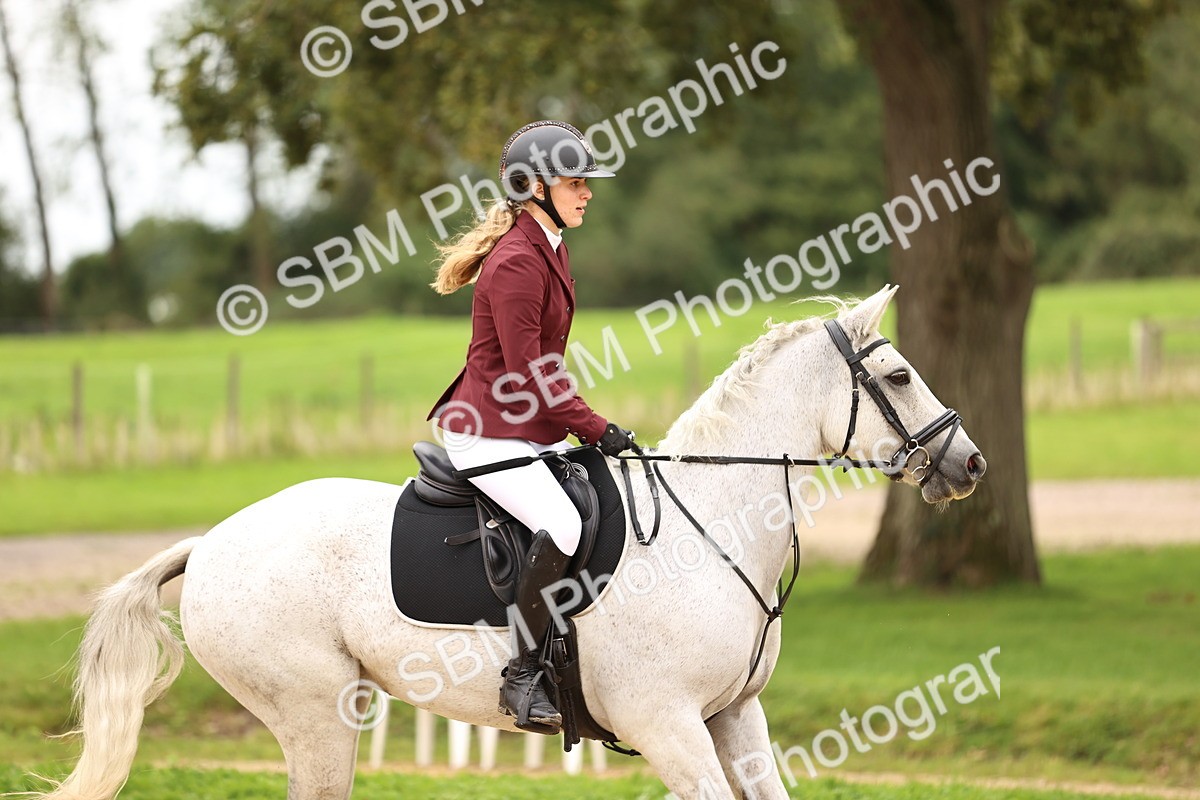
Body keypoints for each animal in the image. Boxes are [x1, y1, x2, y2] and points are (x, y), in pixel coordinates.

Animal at [33, 285, 985, 800]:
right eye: (899, 375)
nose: (969, 462)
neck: (711, 522)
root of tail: (210, 542)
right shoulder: (668, 723)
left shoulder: (731, 715)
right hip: (314, 710)